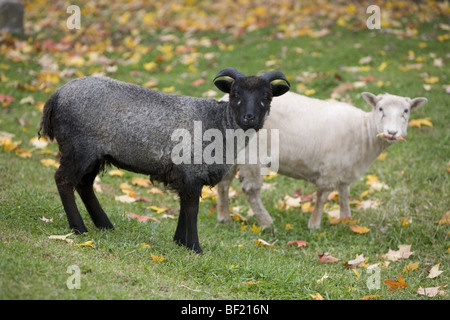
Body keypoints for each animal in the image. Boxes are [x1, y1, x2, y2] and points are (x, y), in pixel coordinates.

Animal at [216, 91, 428, 229]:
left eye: (406, 111)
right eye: (381, 108)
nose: (392, 133)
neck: (364, 132)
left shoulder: (345, 168)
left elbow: (344, 193)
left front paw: (346, 219)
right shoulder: (330, 169)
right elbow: (322, 195)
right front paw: (314, 225)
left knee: (224, 183)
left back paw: (224, 217)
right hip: (251, 155)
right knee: (251, 190)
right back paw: (266, 223)